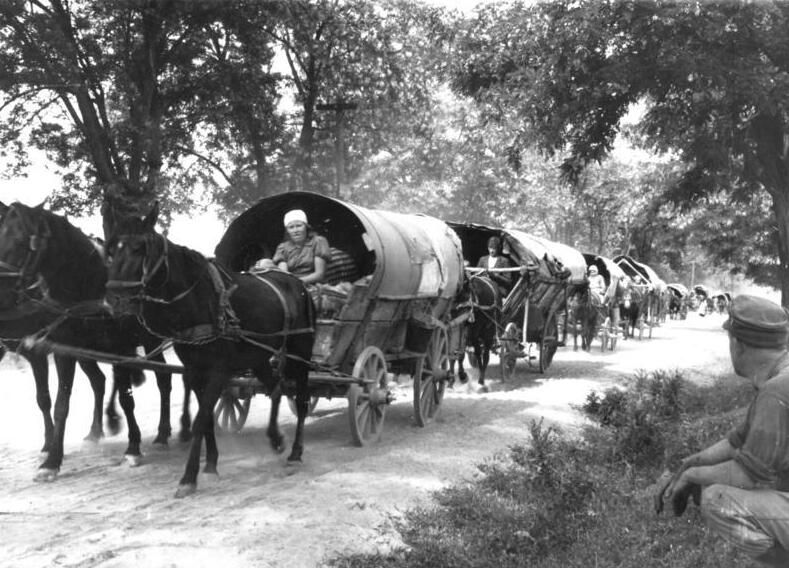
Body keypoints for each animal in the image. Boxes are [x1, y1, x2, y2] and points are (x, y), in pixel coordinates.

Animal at [0, 203, 188, 480]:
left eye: (24, 242)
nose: (3, 293)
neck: (89, 287)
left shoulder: (121, 348)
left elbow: (127, 399)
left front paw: (133, 447)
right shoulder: (64, 351)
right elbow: (59, 404)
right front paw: (52, 460)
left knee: (170, 378)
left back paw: (172, 429)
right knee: (113, 380)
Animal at [104, 204, 314, 496]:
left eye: (139, 248)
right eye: (111, 249)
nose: (115, 299)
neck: (199, 301)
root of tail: (298, 284)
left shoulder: (218, 370)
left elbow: (201, 419)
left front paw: (188, 477)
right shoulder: (195, 371)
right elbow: (206, 420)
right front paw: (211, 464)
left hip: (301, 355)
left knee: (302, 400)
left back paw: (295, 452)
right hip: (259, 358)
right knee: (276, 388)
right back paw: (275, 438)